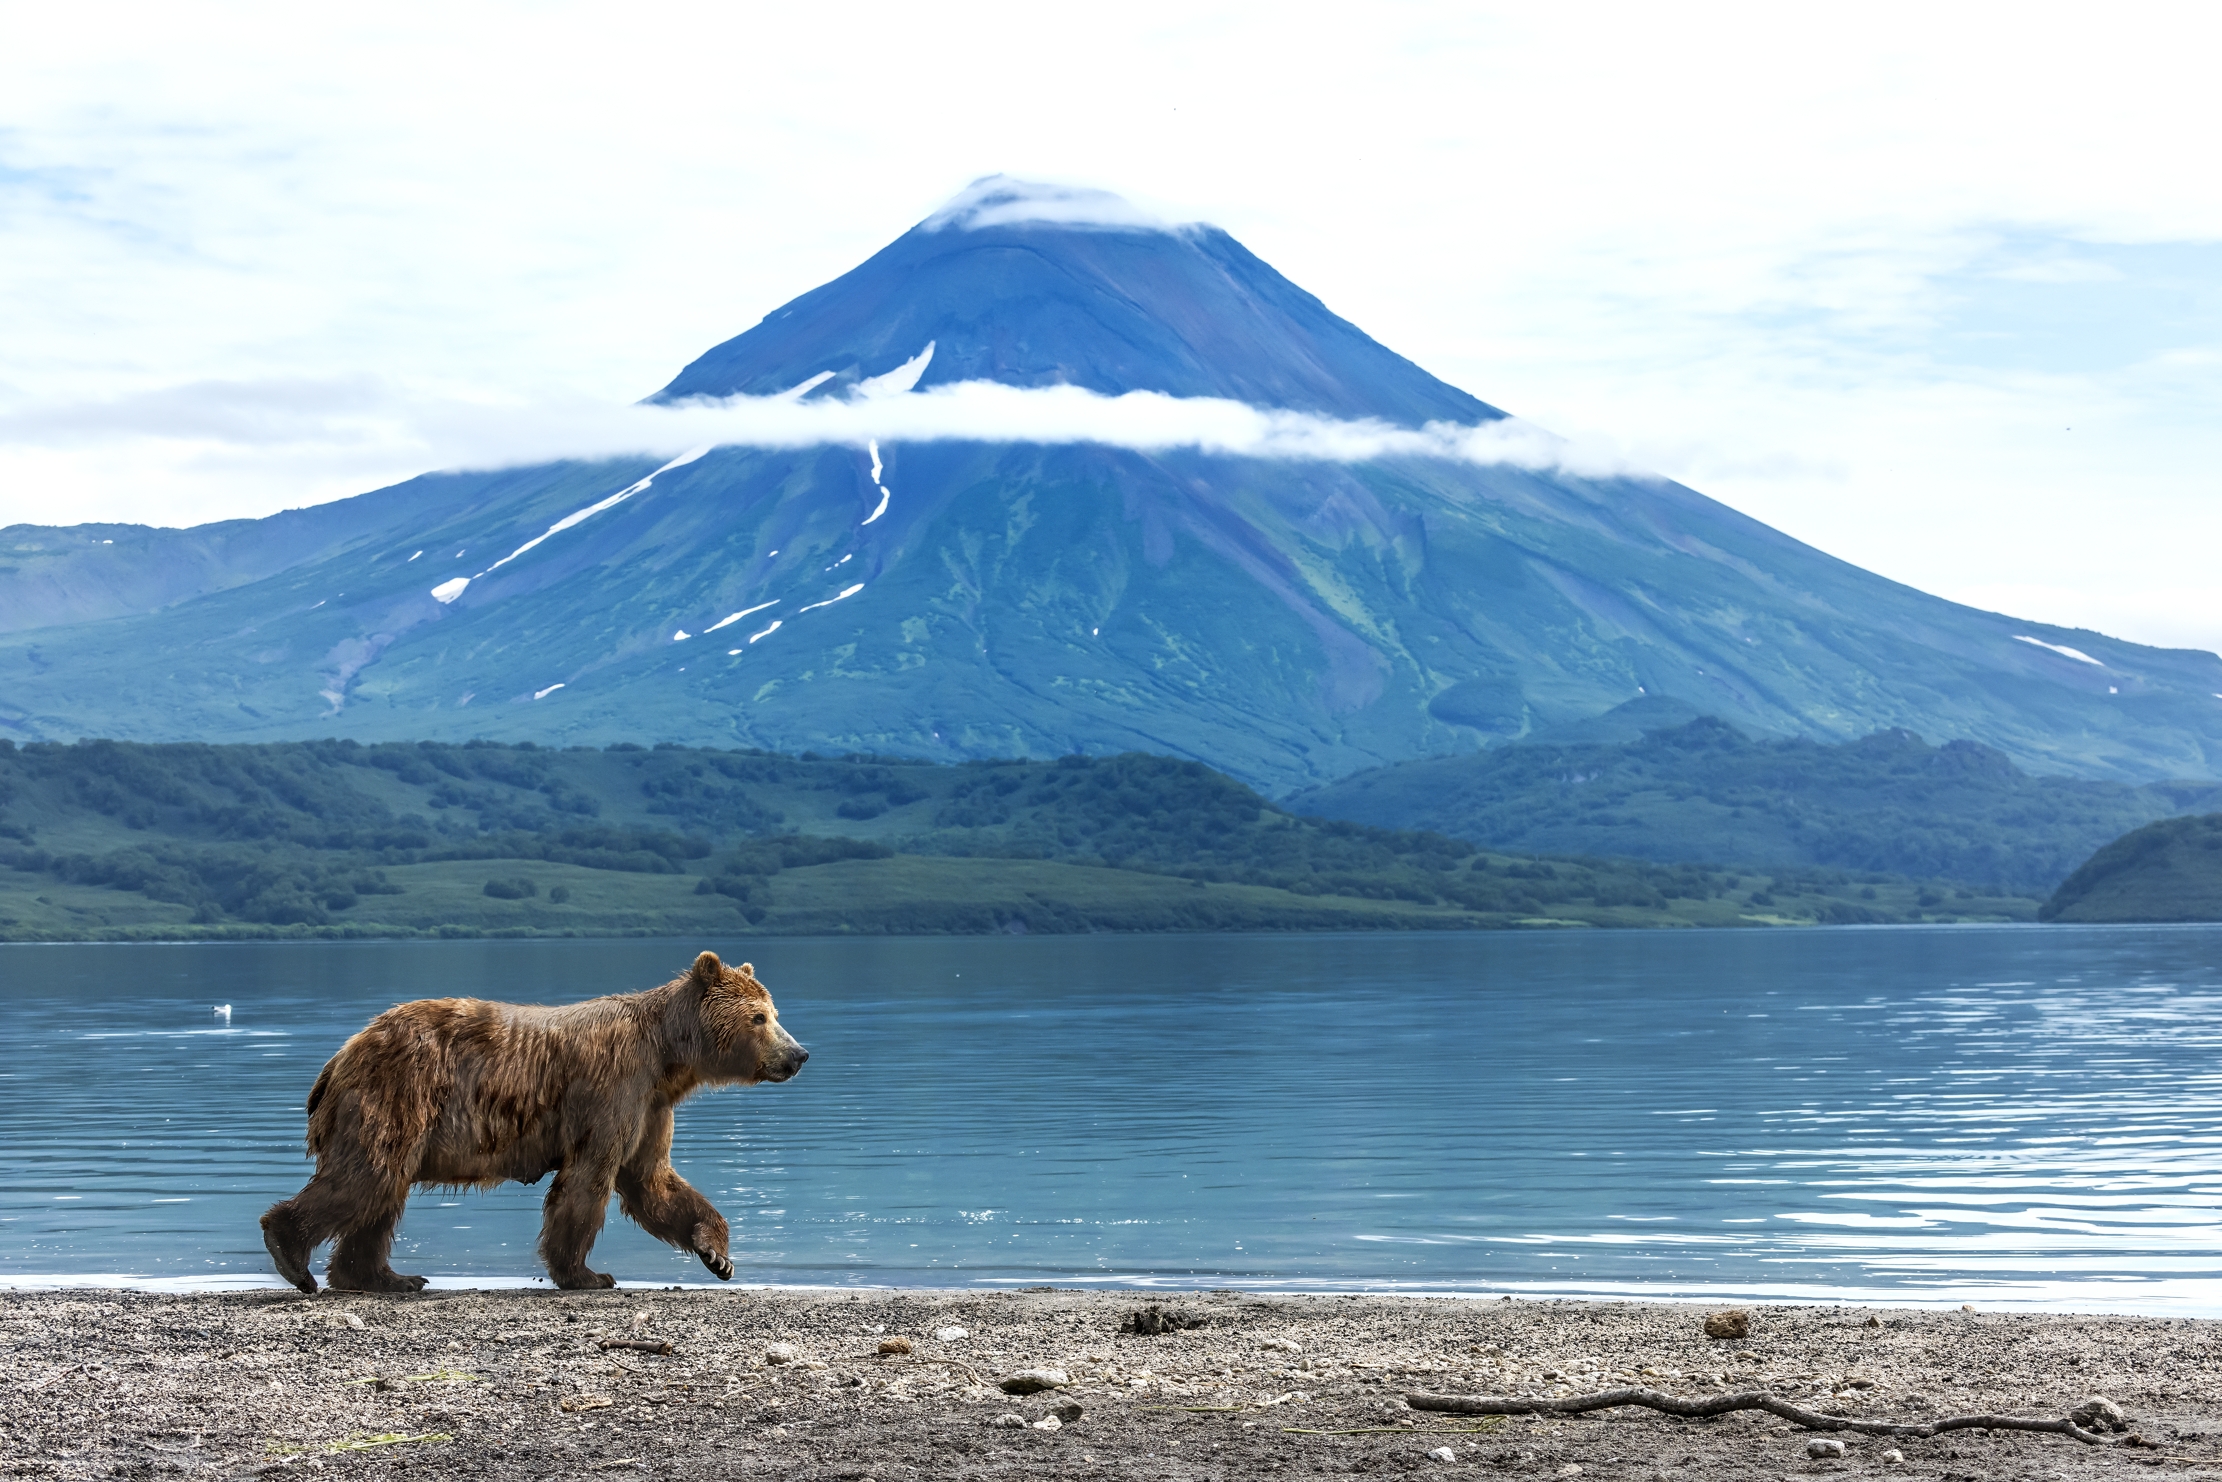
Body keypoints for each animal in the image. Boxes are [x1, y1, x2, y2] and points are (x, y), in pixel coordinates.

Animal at [259, 951, 806, 1293]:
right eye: (760, 1017)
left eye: (774, 1012)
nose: (798, 1054)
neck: (667, 1055)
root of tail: (344, 1051)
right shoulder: (613, 1087)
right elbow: (589, 1178)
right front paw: (587, 1274)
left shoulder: (650, 1106)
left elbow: (652, 1181)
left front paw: (717, 1253)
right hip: (398, 1091)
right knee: (366, 1177)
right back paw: (290, 1251)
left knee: (382, 1192)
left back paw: (387, 1278)